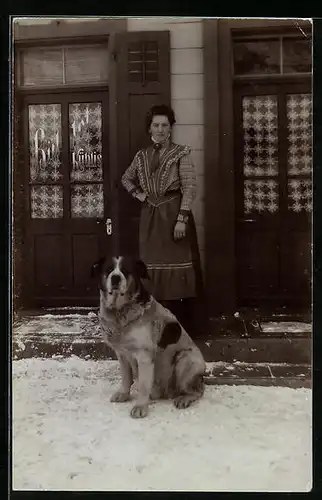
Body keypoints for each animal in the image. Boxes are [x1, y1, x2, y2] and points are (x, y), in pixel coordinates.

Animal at [92, 258, 205, 418]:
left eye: (125, 270)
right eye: (108, 270)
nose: (115, 277)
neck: (120, 313)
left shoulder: (144, 355)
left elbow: (144, 385)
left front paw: (140, 407)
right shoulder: (121, 354)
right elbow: (126, 377)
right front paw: (123, 394)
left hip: (185, 360)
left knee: (198, 391)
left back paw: (184, 399)